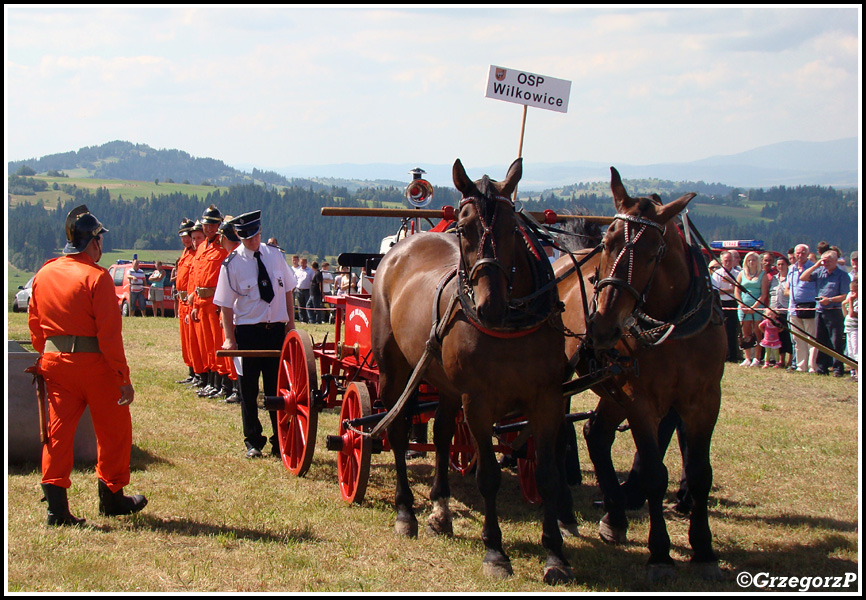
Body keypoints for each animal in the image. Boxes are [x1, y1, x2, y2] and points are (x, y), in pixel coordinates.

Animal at [370, 159, 576, 584]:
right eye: (464, 229)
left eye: (513, 227)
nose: (489, 305)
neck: (511, 326)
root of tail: (401, 249)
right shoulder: (479, 402)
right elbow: (488, 477)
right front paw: (495, 551)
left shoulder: (547, 399)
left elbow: (549, 474)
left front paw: (556, 555)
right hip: (394, 370)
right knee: (396, 431)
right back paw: (406, 511)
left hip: (444, 383)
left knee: (443, 434)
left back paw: (440, 510)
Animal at [552, 166, 724, 580]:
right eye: (609, 241)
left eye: (653, 253)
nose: (602, 327)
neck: (671, 327)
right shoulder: (642, 400)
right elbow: (654, 475)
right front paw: (660, 553)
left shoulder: (705, 401)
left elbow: (700, 473)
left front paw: (704, 549)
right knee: (560, 437)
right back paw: (567, 512)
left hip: (612, 387)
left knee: (595, 433)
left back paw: (613, 516)